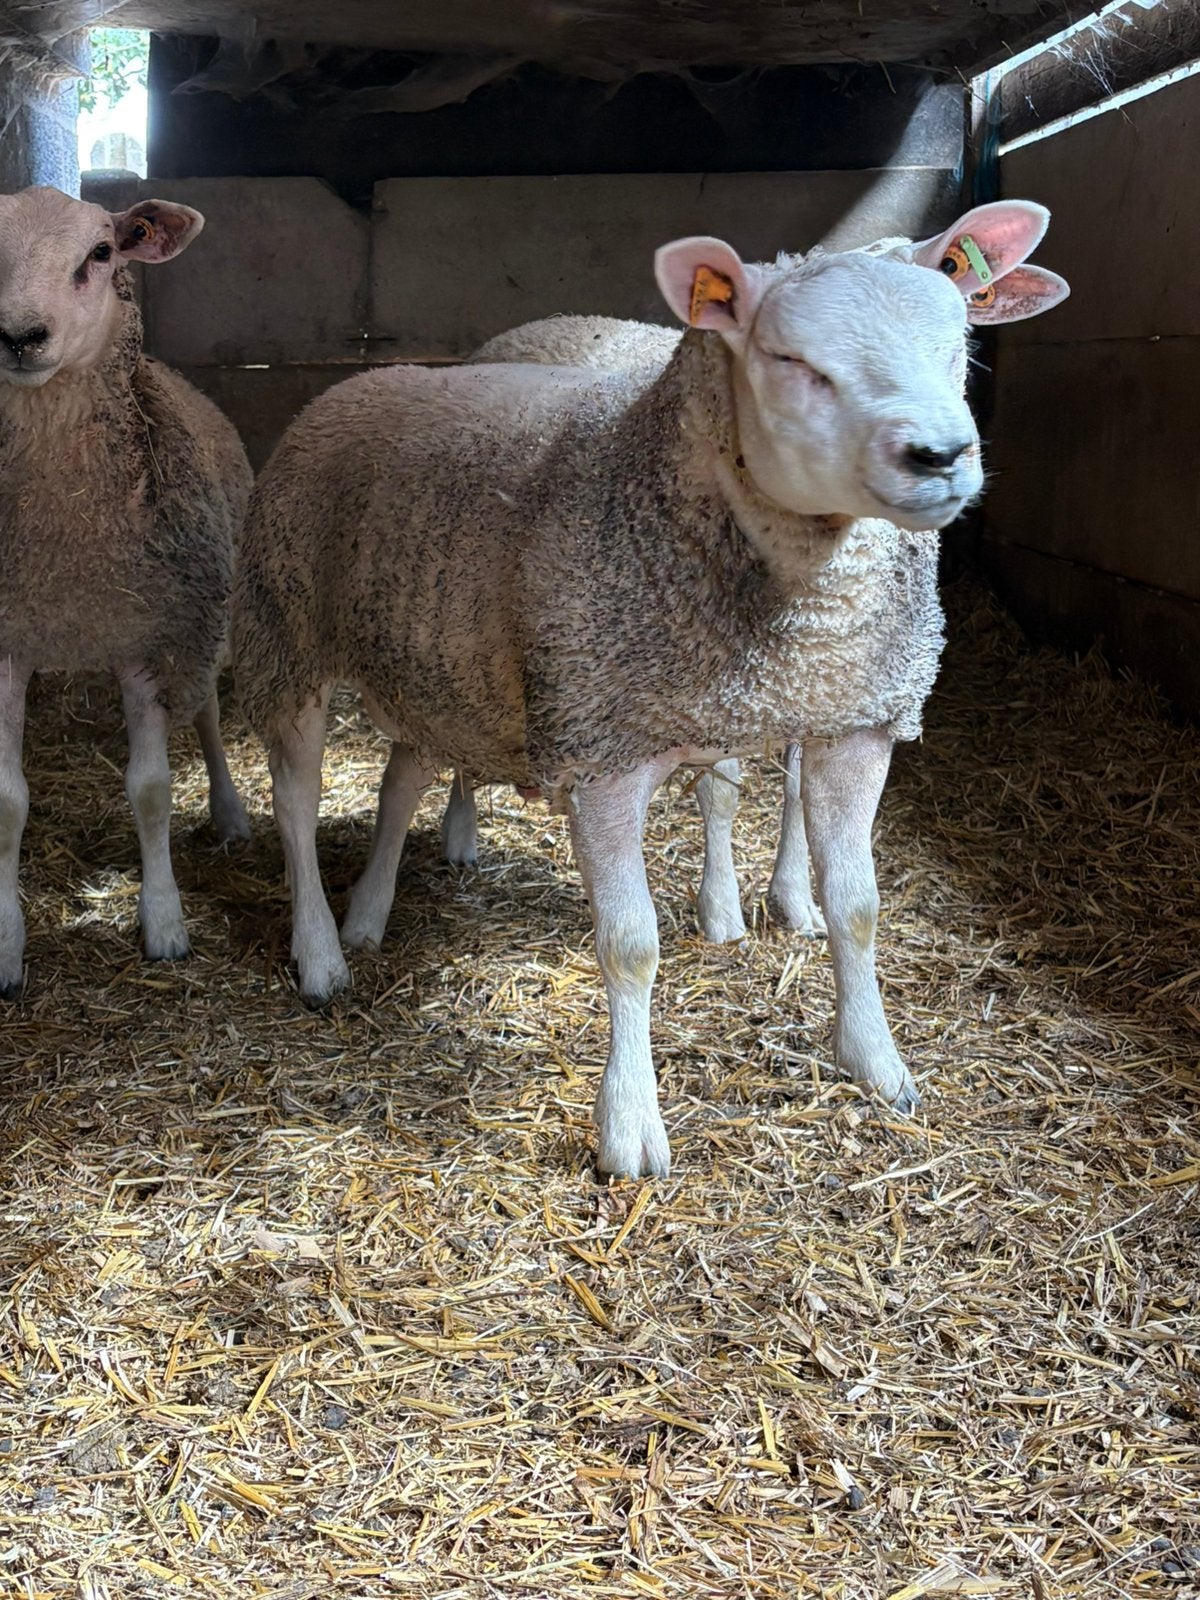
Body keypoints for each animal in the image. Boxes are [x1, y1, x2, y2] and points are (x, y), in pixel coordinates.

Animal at [0, 185, 251, 996]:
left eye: (102, 252)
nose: (19, 335)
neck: (66, 542)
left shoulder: (150, 638)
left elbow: (150, 791)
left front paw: (165, 923)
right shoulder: (8, 644)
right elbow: (9, 801)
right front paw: (7, 946)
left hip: (206, 622)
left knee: (207, 714)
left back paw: (231, 814)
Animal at [444, 223, 1071, 944]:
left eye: (959, 342)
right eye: (791, 358)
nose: (939, 456)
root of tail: (554, 319)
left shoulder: (821, 683)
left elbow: (798, 788)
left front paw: (796, 899)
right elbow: (721, 786)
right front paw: (721, 910)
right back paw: (458, 832)